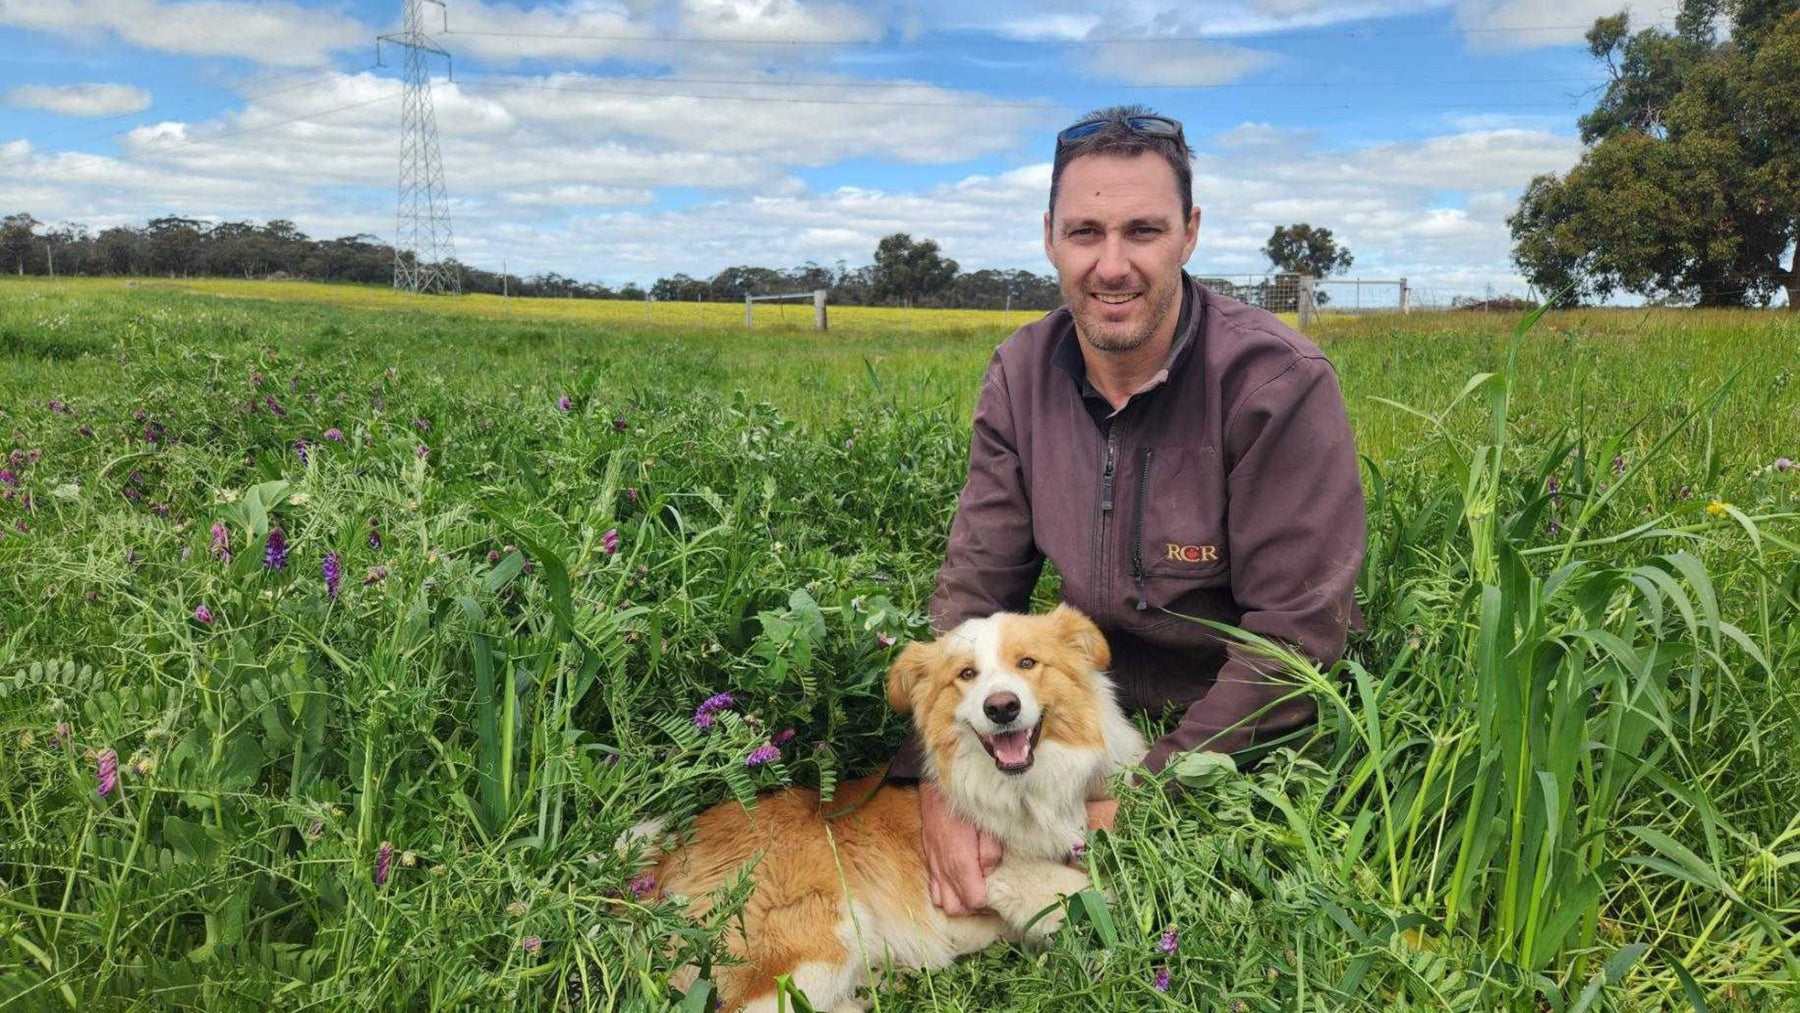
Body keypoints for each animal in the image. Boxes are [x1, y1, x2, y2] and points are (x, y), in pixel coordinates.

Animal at [626, 608, 1144, 1007]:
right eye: (967, 675)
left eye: (1028, 662)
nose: (1001, 707)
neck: (1030, 787)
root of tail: (663, 859)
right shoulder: (1000, 873)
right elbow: (1097, 892)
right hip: (819, 943)